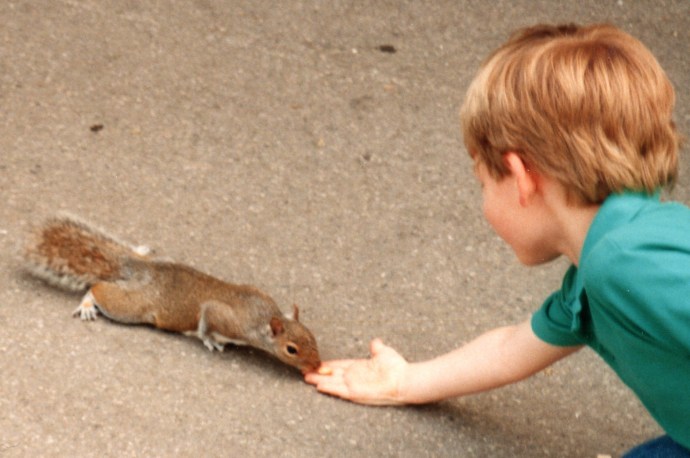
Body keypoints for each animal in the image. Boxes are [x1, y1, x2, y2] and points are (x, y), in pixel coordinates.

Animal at [23, 214, 322, 374]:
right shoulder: (225, 317)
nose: (317, 366)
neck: (262, 315)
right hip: (130, 307)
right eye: (291, 349)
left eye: (313, 338)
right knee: (97, 289)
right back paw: (88, 303)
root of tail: (139, 270)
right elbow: (206, 320)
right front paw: (209, 340)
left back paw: (139, 250)